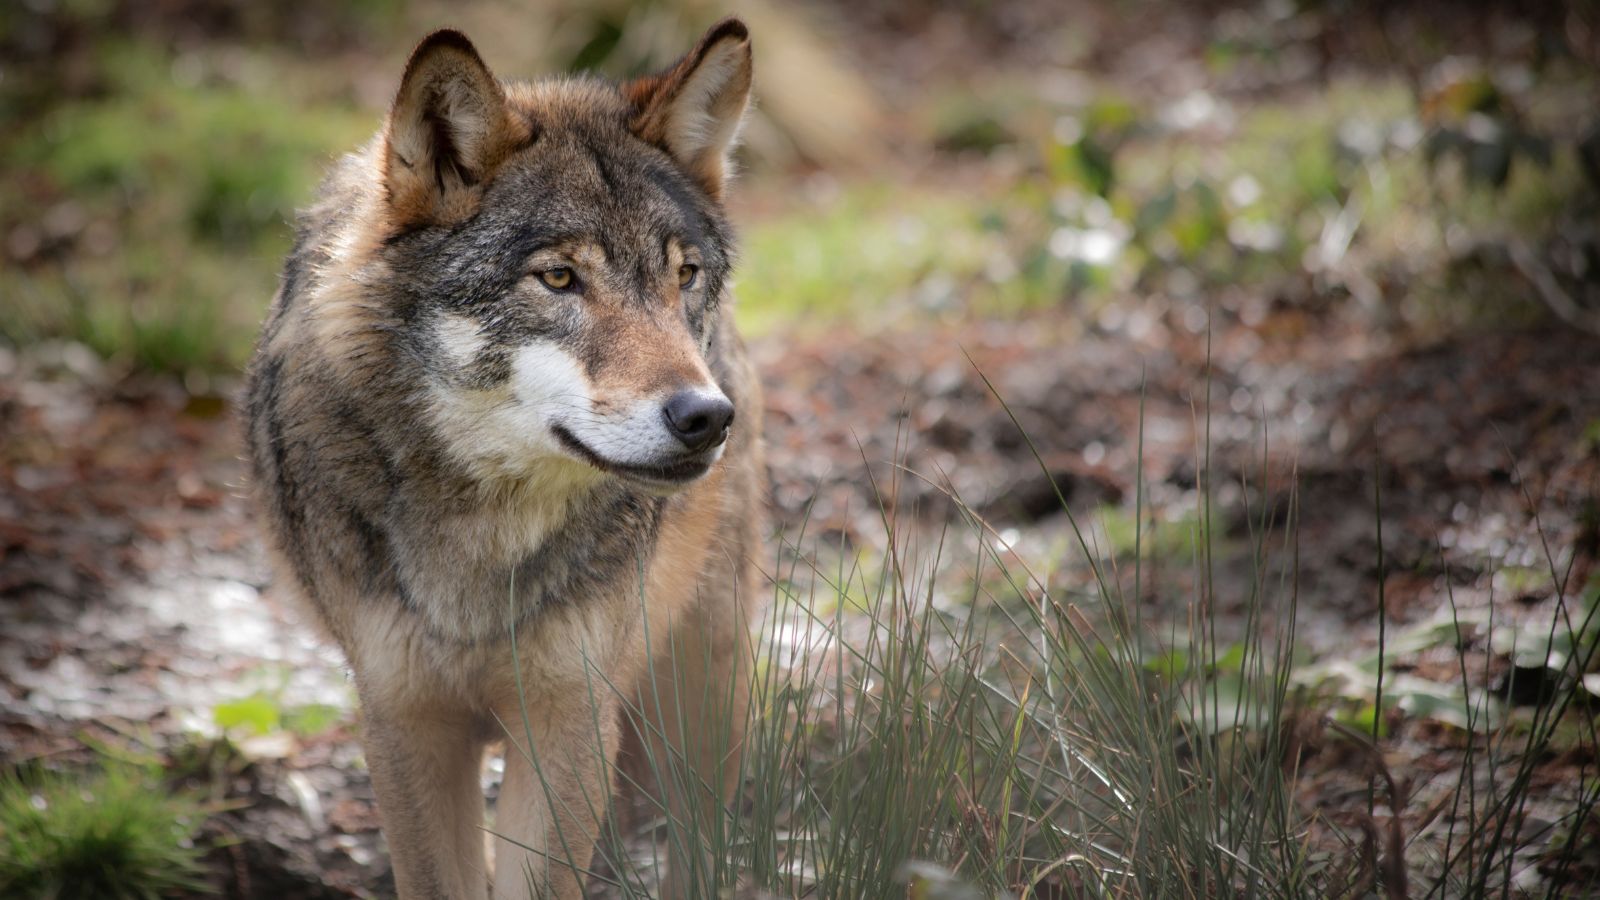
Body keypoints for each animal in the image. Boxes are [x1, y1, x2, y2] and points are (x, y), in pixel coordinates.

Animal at [243, 19, 764, 899]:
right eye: (558, 278)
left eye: (684, 276)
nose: (706, 417)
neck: (481, 540)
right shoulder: (405, 724)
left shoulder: (569, 720)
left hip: (703, 687)